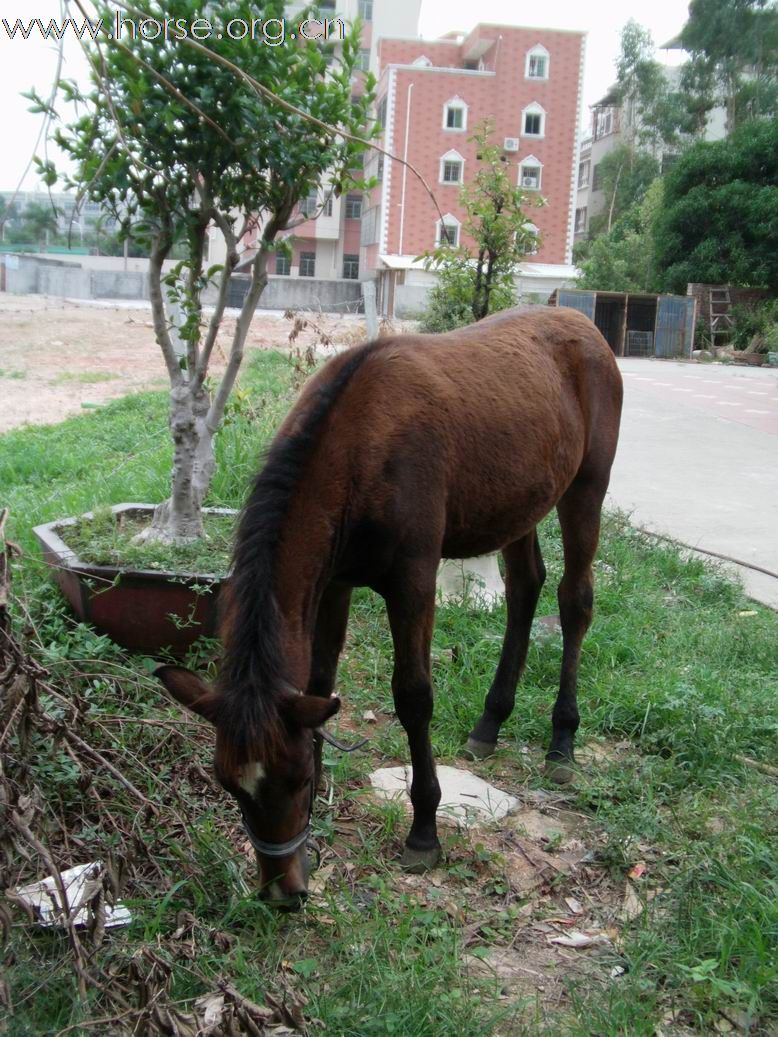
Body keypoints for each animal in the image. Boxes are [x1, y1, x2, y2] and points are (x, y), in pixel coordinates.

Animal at [156, 304, 622, 908]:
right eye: (228, 783)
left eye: (295, 778)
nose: (283, 891)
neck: (358, 450)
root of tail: (584, 324)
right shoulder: (334, 583)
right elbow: (319, 681)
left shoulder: (412, 583)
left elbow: (414, 697)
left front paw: (424, 830)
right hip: (521, 501)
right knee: (525, 588)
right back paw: (490, 722)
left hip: (586, 486)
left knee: (574, 601)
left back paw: (562, 742)